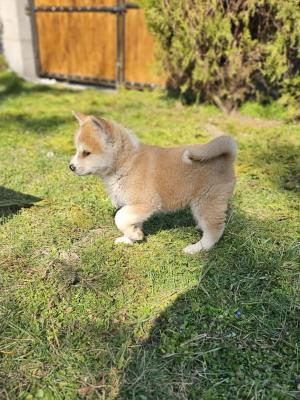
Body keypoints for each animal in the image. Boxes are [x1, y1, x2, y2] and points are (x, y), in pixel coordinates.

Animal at [69, 111, 237, 253]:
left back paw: (196, 248)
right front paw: (130, 238)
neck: (127, 163)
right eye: (77, 150)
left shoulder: (146, 203)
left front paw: (134, 236)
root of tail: (226, 157)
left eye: (86, 153)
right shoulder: (134, 206)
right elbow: (131, 221)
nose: (71, 166)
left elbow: (120, 217)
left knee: (214, 231)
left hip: (206, 202)